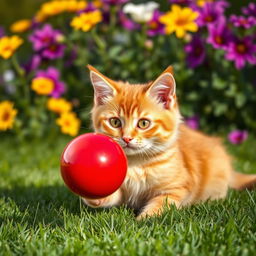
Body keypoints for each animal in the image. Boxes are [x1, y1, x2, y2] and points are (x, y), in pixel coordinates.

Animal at [82, 65, 256, 219]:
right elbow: (112, 196)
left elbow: (161, 203)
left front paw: (145, 219)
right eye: (115, 122)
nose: (126, 138)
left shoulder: (178, 188)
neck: (136, 165)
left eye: (143, 123)